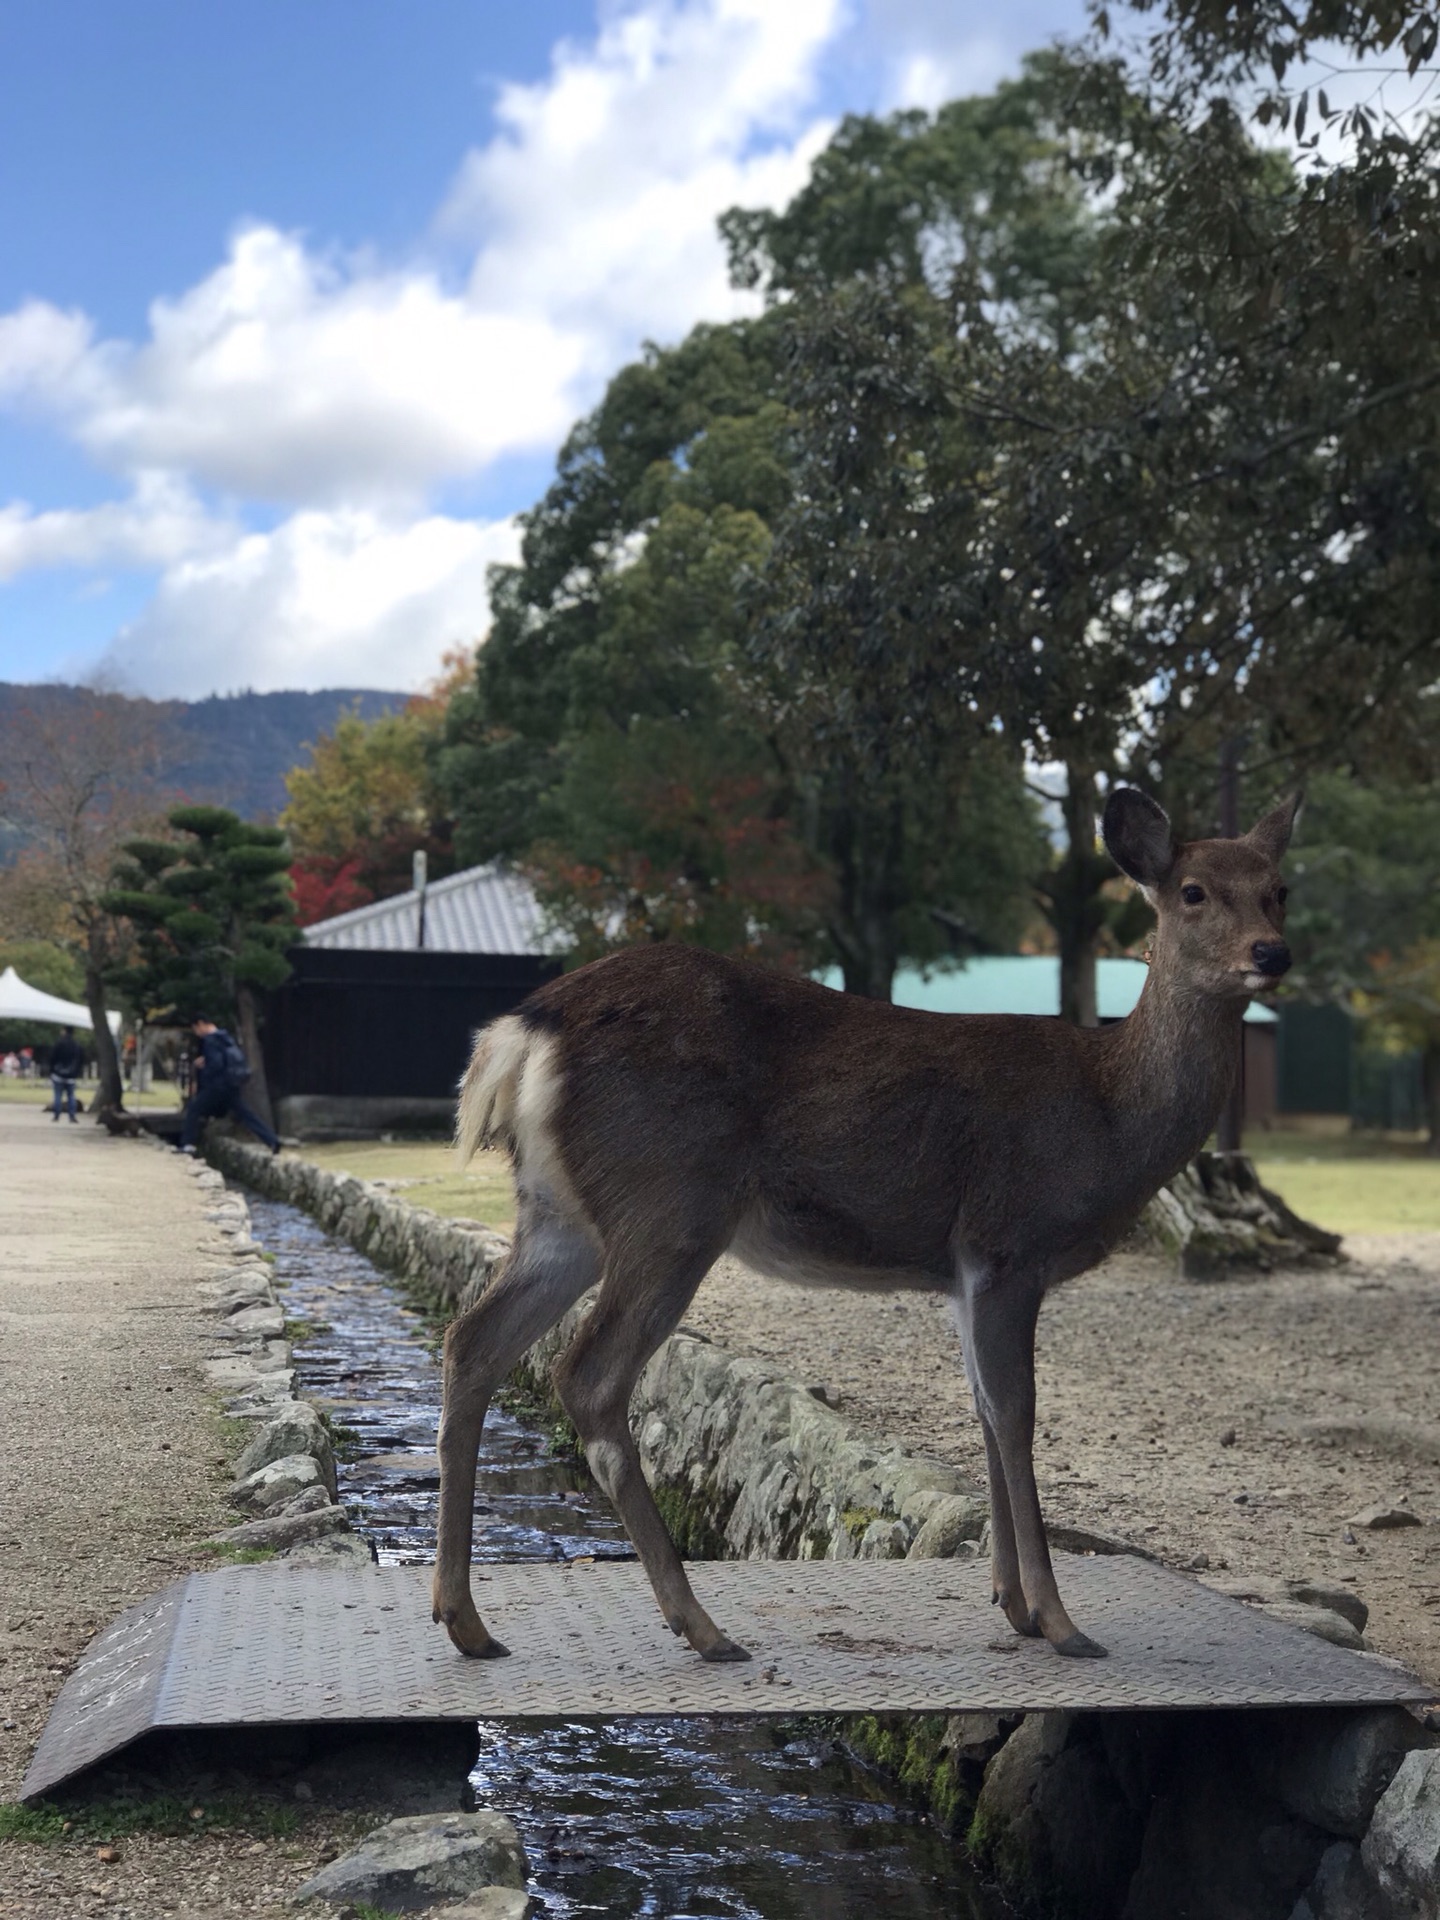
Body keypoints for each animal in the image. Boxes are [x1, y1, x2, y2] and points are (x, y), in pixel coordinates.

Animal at [433, 787, 1305, 1658]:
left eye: (1280, 889)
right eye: (1192, 891)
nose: (1272, 954)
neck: (1108, 1116)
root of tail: (521, 1034)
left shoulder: (962, 1274)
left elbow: (983, 1411)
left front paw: (1012, 1605)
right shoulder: (1007, 1242)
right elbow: (1017, 1415)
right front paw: (1060, 1622)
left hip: (561, 1215)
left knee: (473, 1339)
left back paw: (467, 1620)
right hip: (670, 1203)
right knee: (587, 1375)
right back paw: (701, 1625)